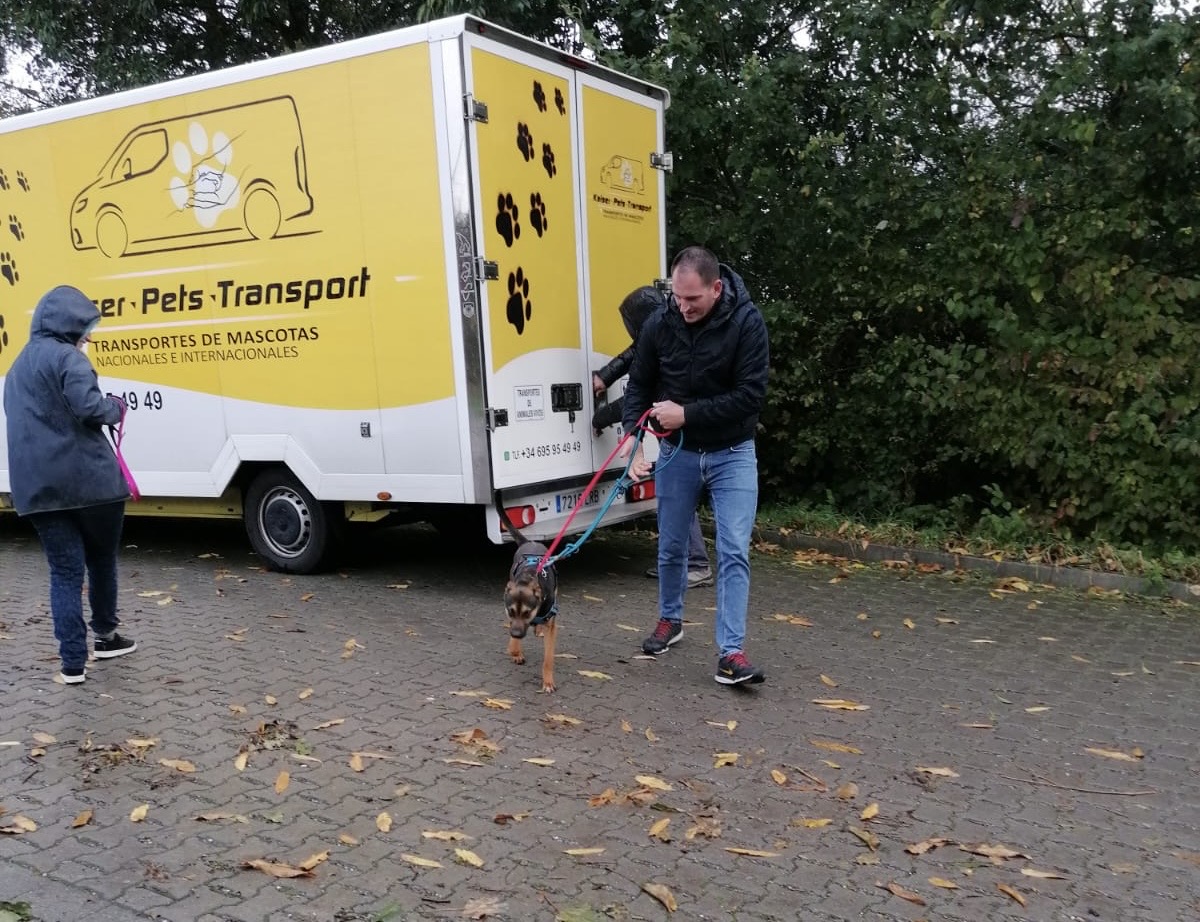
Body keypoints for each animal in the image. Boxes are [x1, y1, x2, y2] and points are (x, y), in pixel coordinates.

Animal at [498, 508, 559, 693]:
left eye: (527, 612)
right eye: (511, 611)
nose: (517, 634)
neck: (528, 577)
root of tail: (530, 541)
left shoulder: (551, 625)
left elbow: (548, 659)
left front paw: (548, 682)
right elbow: (512, 644)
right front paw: (515, 652)